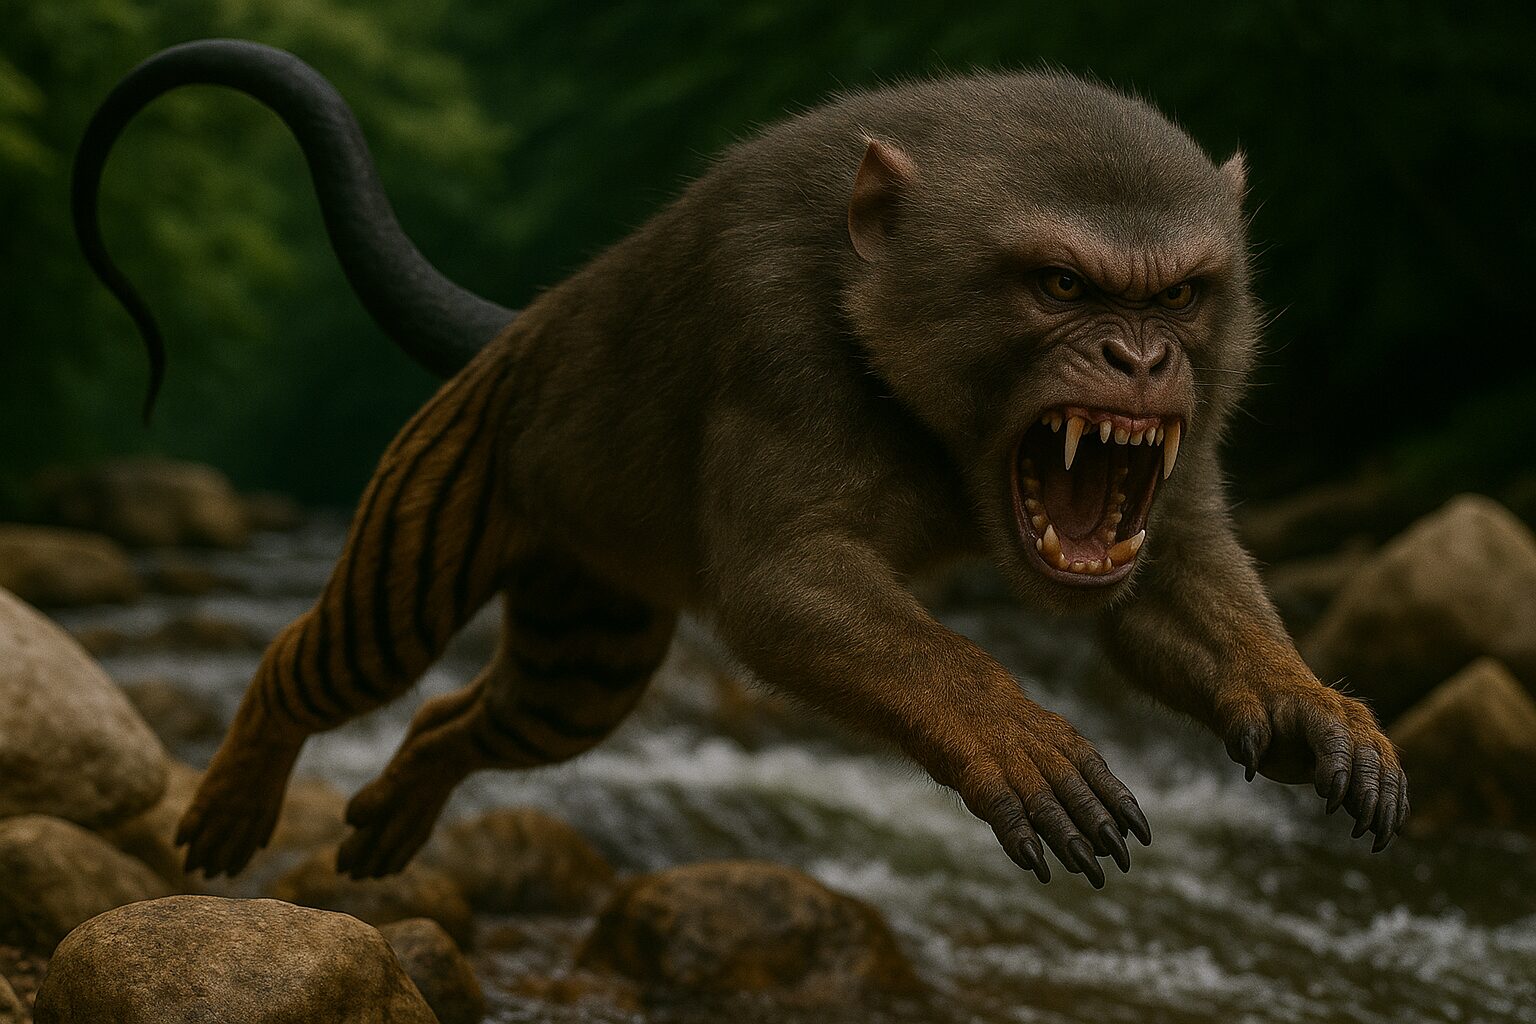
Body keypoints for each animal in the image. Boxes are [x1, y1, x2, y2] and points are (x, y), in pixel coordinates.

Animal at [74, 40, 1406, 889]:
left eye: (1180, 293)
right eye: (1064, 285)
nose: (1140, 357)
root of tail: (520, 329)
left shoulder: (1169, 503)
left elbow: (1179, 588)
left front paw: (1315, 707)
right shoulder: (776, 346)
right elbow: (804, 596)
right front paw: (1025, 743)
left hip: (590, 642)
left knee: (480, 711)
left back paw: (394, 815)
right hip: (435, 507)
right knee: (328, 655)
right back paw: (231, 808)